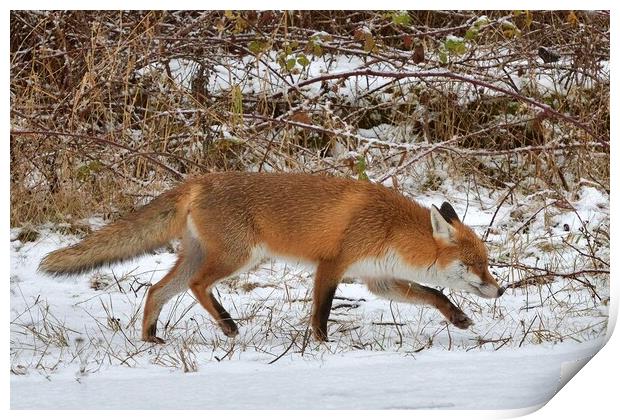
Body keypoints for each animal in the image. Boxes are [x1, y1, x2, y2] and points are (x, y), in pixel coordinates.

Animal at [38, 171, 504, 344]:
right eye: (476, 265)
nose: (500, 290)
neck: (391, 230)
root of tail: (199, 180)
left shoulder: (379, 279)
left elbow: (433, 295)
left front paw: (458, 318)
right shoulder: (332, 265)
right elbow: (321, 310)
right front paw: (322, 344)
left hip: (203, 257)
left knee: (157, 289)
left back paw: (151, 337)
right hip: (238, 258)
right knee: (197, 286)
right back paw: (228, 326)